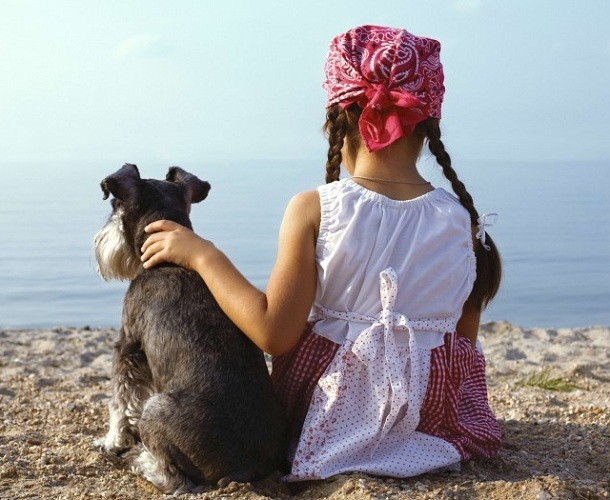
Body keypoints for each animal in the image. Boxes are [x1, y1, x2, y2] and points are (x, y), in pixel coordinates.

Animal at [93, 165, 288, 496]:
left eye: (115, 206)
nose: (100, 242)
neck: (169, 259)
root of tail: (246, 467)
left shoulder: (128, 346)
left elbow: (121, 400)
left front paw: (112, 442)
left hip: (155, 410)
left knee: (176, 481)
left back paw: (140, 462)